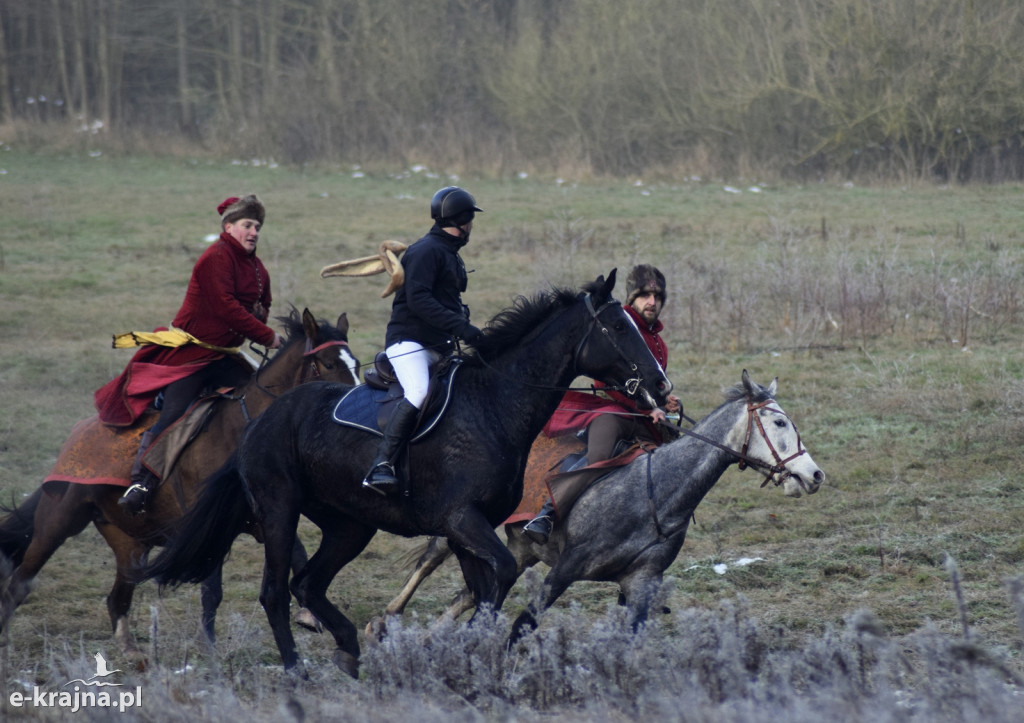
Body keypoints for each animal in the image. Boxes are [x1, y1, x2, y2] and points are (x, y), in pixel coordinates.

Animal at [0, 307, 360, 651]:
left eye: (356, 363)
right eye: (329, 363)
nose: (349, 406)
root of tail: (77, 435)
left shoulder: (265, 517)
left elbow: (297, 556)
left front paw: (309, 615)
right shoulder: (210, 524)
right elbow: (212, 590)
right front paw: (209, 645)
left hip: (130, 542)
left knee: (118, 597)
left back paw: (132, 652)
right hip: (59, 522)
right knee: (19, 583)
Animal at [144, 268, 671, 671]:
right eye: (618, 328)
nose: (661, 386)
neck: (494, 406)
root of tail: (260, 420)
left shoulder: (465, 528)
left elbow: (486, 588)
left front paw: (469, 650)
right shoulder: (462, 520)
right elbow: (498, 574)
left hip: (349, 525)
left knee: (307, 583)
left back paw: (349, 647)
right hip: (279, 511)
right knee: (276, 592)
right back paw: (297, 670)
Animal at [368, 368, 823, 639]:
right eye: (779, 422)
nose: (815, 475)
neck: (655, 493)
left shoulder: (639, 584)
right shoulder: (567, 567)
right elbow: (522, 625)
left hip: (517, 550)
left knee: (465, 595)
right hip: (464, 523)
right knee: (431, 560)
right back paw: (382, 622)